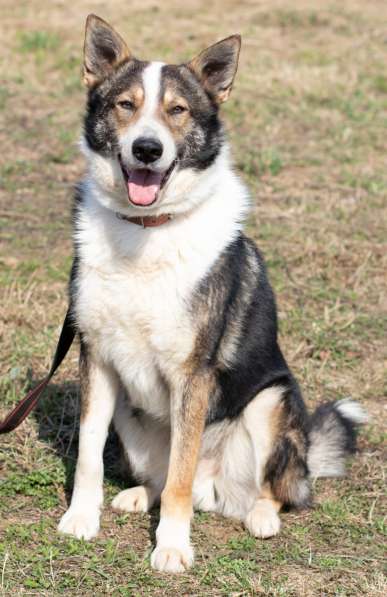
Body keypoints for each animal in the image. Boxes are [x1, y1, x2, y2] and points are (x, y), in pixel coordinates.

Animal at [56, 15, 366, 572]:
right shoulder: (96, 358)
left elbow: (180, 474)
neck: (148, 230)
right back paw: (139, 496)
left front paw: (173, 547)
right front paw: (80, 519)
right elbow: (90, 454)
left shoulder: (192, 376)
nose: (147, 149)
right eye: (126, 105)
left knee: (275, 489)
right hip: (132, 415)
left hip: (271, 403)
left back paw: (262, 516)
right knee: (165, 478)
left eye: (177, 110)